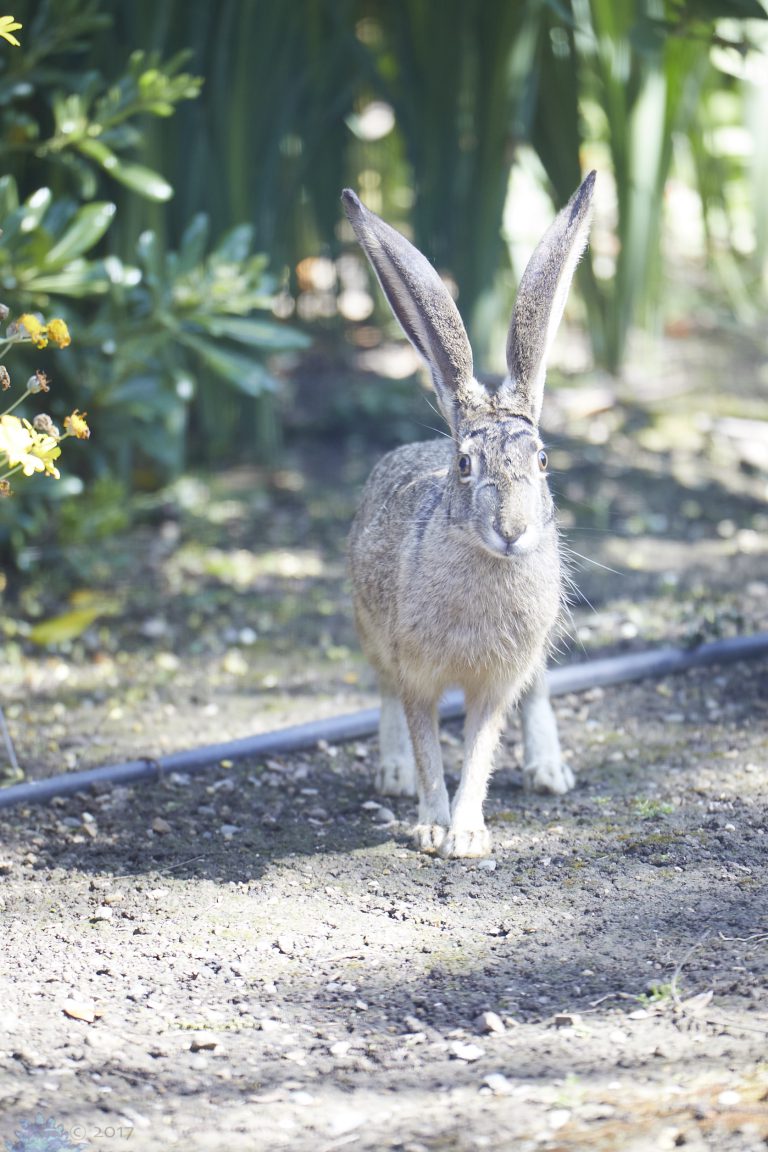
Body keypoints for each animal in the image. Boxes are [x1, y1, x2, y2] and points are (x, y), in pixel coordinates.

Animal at [342, 171, 595, 859]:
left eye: (542, 460)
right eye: (463, 465)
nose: (513, 531)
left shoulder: (497, 681)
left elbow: (480, 748)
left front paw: (468, 833)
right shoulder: (415, 673)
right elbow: (429, 747)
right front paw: (432, 826)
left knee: (540, 690)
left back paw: (550, 771)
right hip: (370, 631)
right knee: (382, 694)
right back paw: (393, 775)